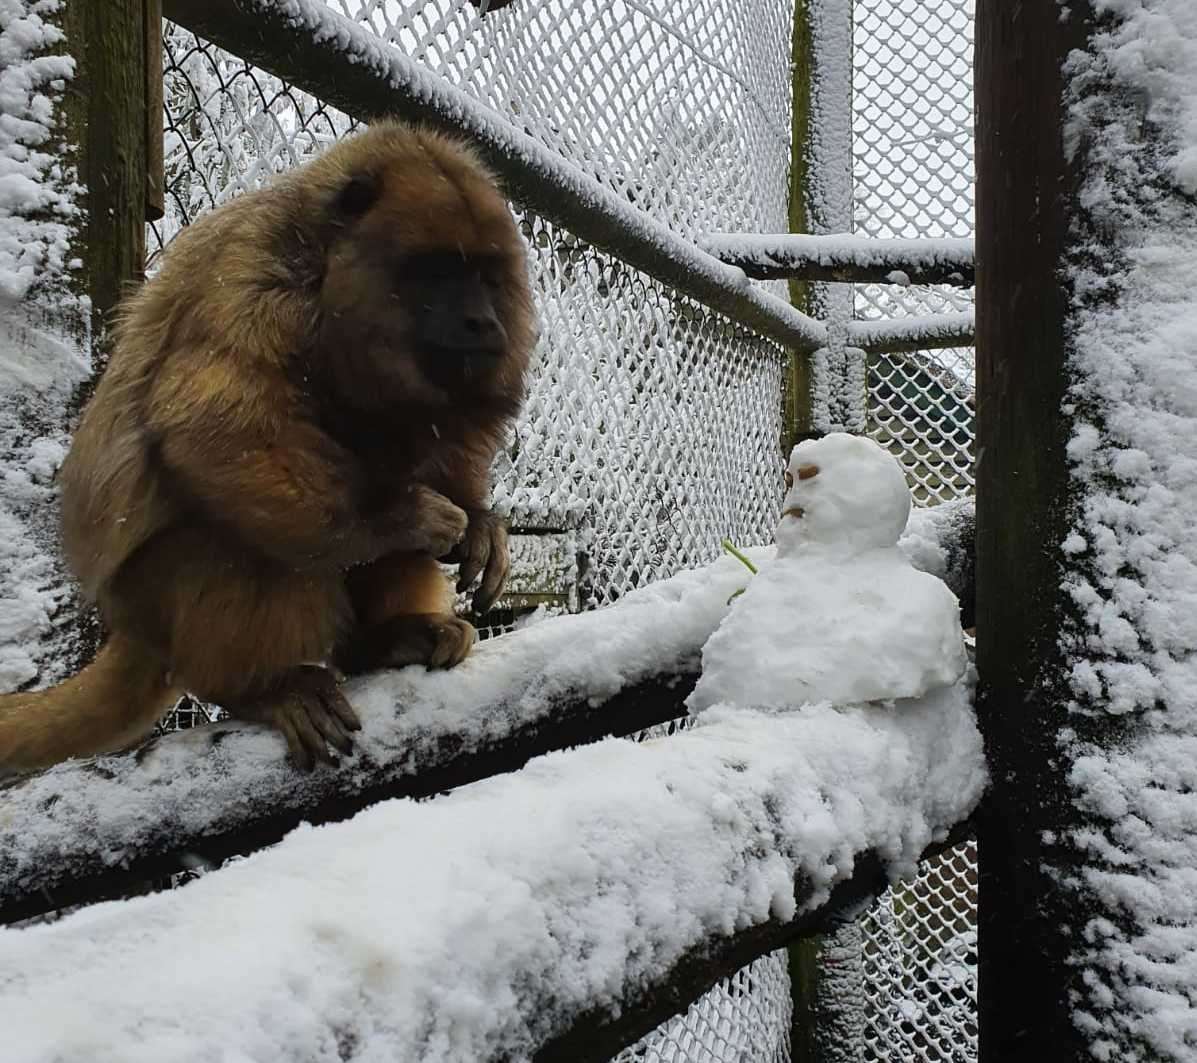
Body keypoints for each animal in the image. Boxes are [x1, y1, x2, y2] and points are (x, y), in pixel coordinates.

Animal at [0, 122, 533, 770]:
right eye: (437, 272)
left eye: (485, 275)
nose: (484, 321)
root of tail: (128, 623)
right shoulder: (252, 276)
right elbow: (212, 426)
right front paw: (404, 516)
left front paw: (479, 523)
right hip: (153, 596)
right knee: (242, 538)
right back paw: (262, 686)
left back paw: (387, 640)